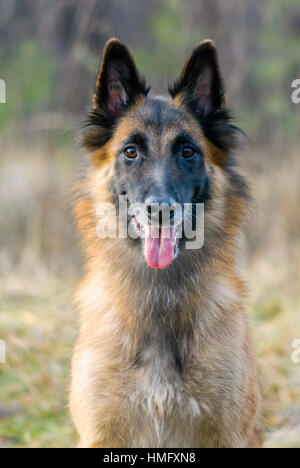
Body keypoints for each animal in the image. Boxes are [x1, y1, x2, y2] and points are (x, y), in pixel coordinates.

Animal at [69, 38, 262, 448]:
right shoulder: (103, 433)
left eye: (187, 151)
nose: (160, 210)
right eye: (131, 151)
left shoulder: (228, 434)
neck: (159, 297)